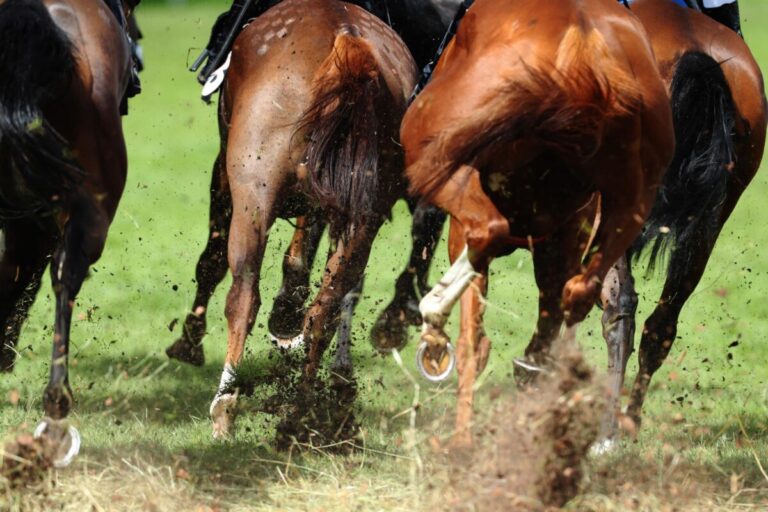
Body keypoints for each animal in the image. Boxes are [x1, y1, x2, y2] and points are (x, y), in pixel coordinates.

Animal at [206, 0, 417, 438]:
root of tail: (347, 44)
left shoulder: (225, 175)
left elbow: (212, 260)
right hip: (364, 218)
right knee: (324, 310)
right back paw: (300, 412)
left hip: (253, 195)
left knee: (244, 295)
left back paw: (225, 406)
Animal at [403, 0, 675, 446]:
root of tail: (585, 48)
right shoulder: (563, 239)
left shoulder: (464, 221)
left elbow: (473, 340)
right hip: (632, 202)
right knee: (579, 291)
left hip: (431, 152)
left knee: (488, 236)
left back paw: (436, 317)